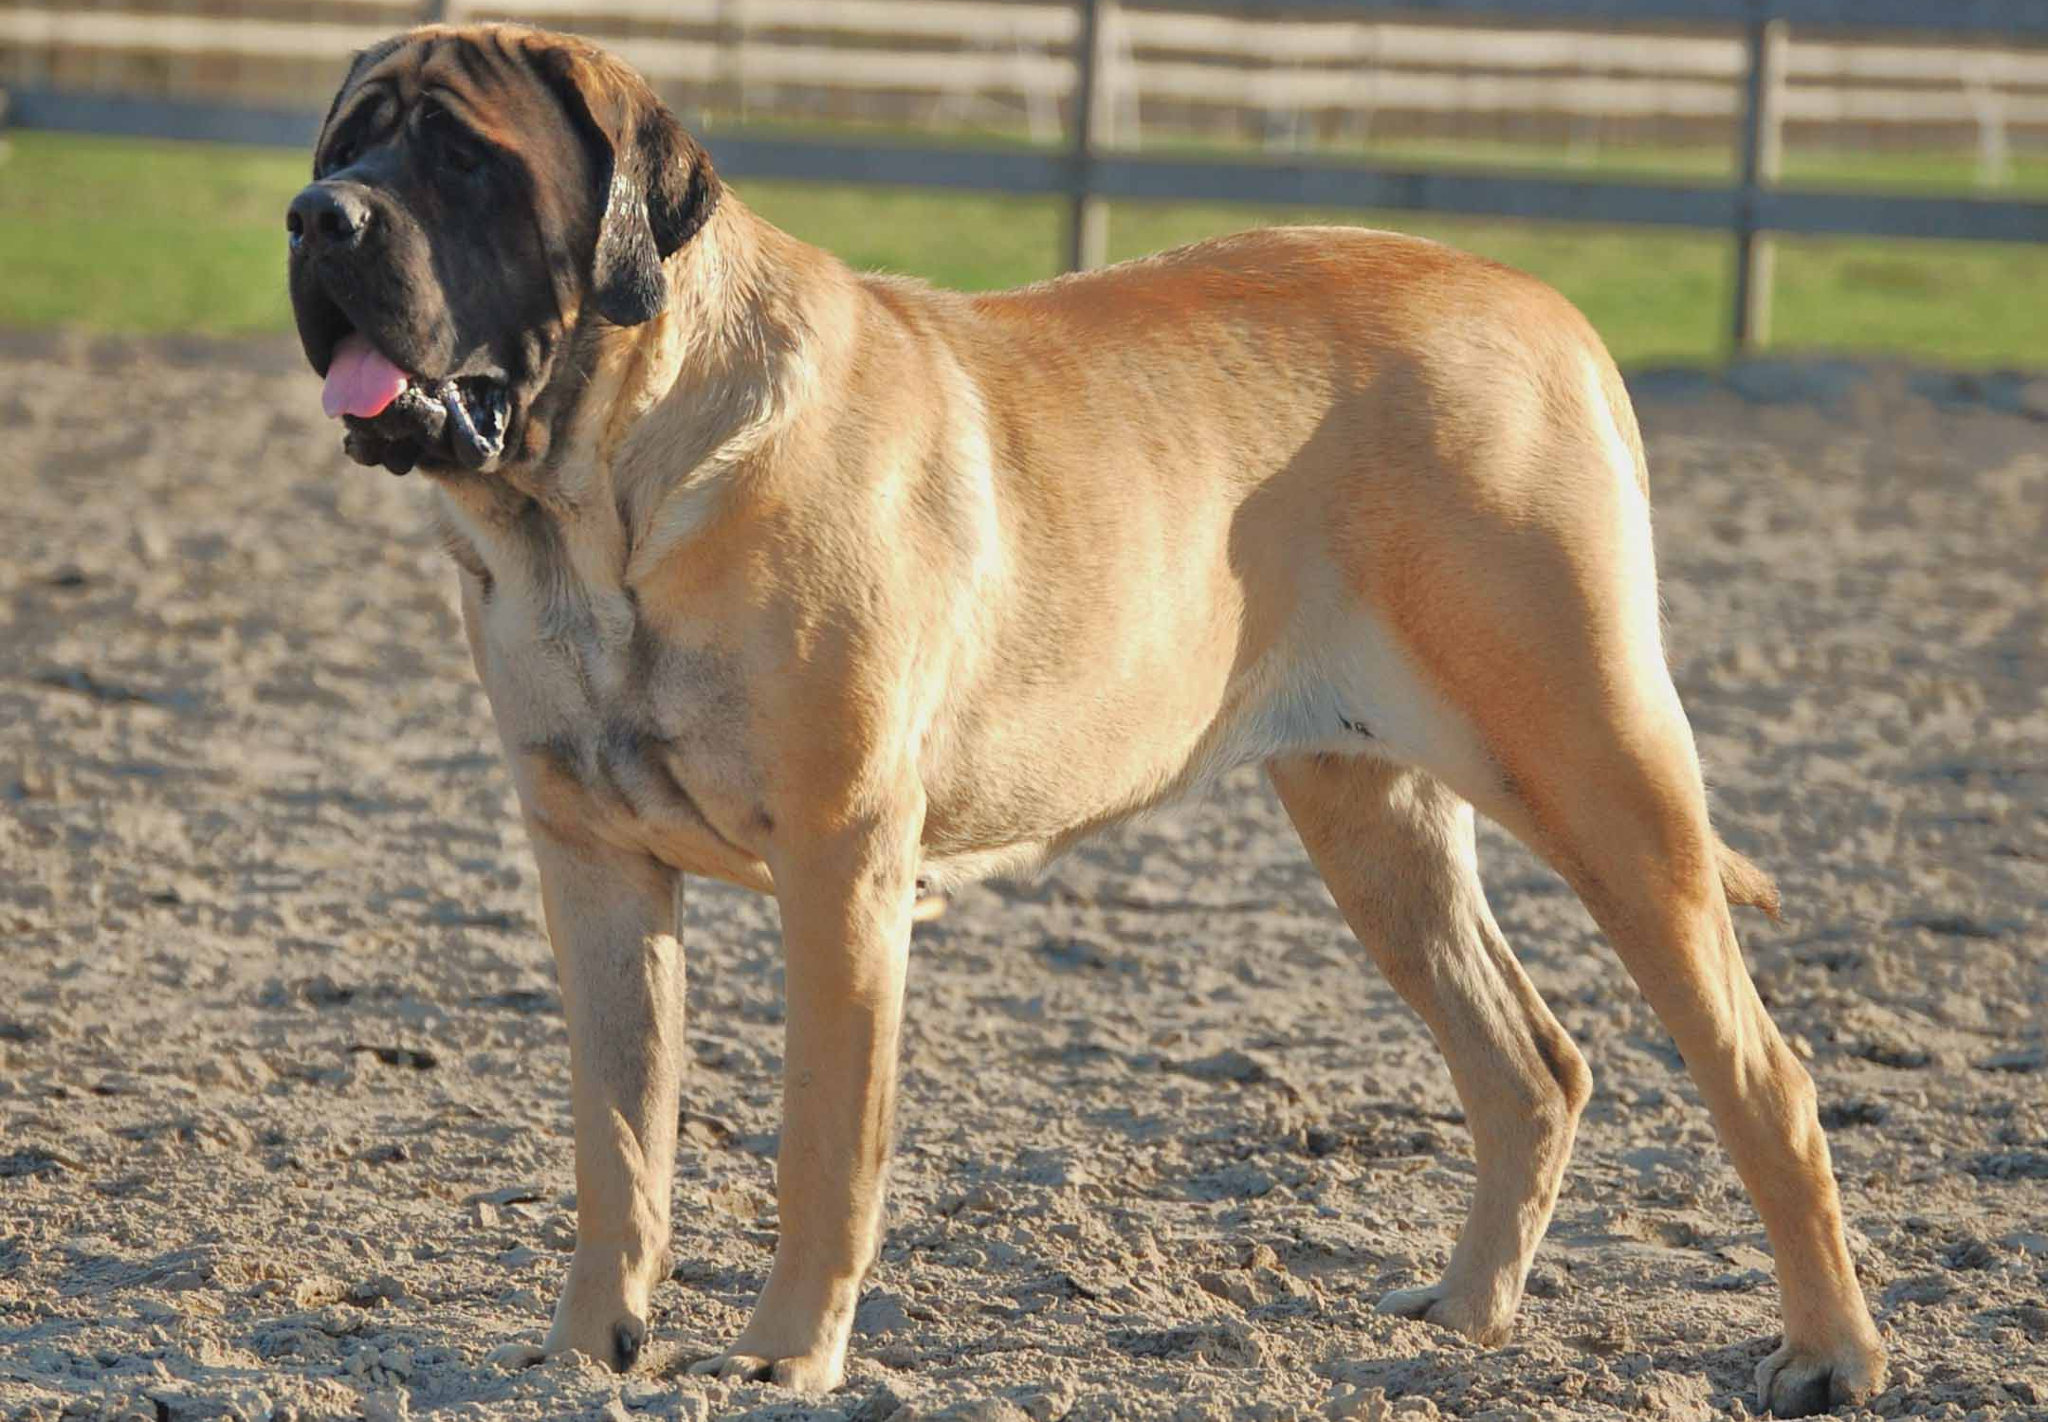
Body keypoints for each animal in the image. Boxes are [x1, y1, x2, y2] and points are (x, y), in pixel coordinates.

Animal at [284, 27, 1884, 1417]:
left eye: (466, 159)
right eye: (343, 141)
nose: (315, 218)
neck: (594, 508)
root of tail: (1547, 311)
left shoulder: (841, 861)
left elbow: (824, 1140)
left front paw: (789, 1353)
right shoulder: (593, 863)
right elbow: (617, 1142)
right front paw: (583, 1350)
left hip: (1596, 769)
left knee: (1763, 1076)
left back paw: (1828, 1355)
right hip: (1370, 821)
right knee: (1529, 1063)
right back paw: (1466, 1316)